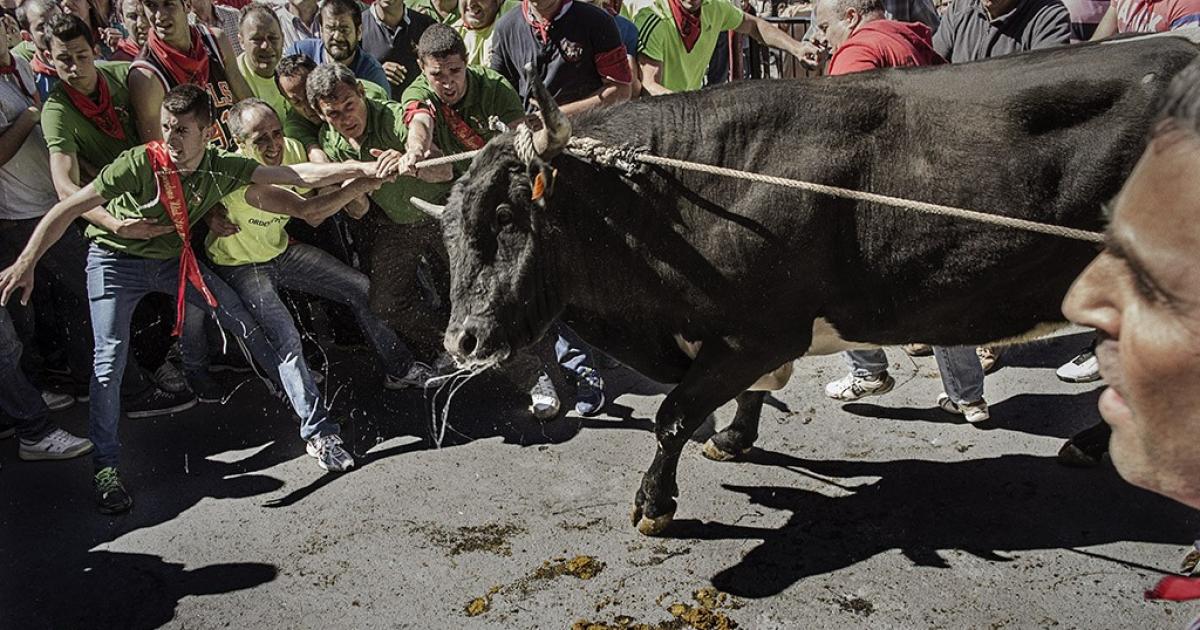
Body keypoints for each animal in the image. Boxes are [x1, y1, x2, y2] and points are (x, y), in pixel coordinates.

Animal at [427, 36, 1195, 532]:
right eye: (447, 227)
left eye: (506, 215)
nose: (461, 340)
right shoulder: (743, 338)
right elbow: (740, 399)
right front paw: (735, 438)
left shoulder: (759, 332)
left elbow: (673, 414)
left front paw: (655, 504)